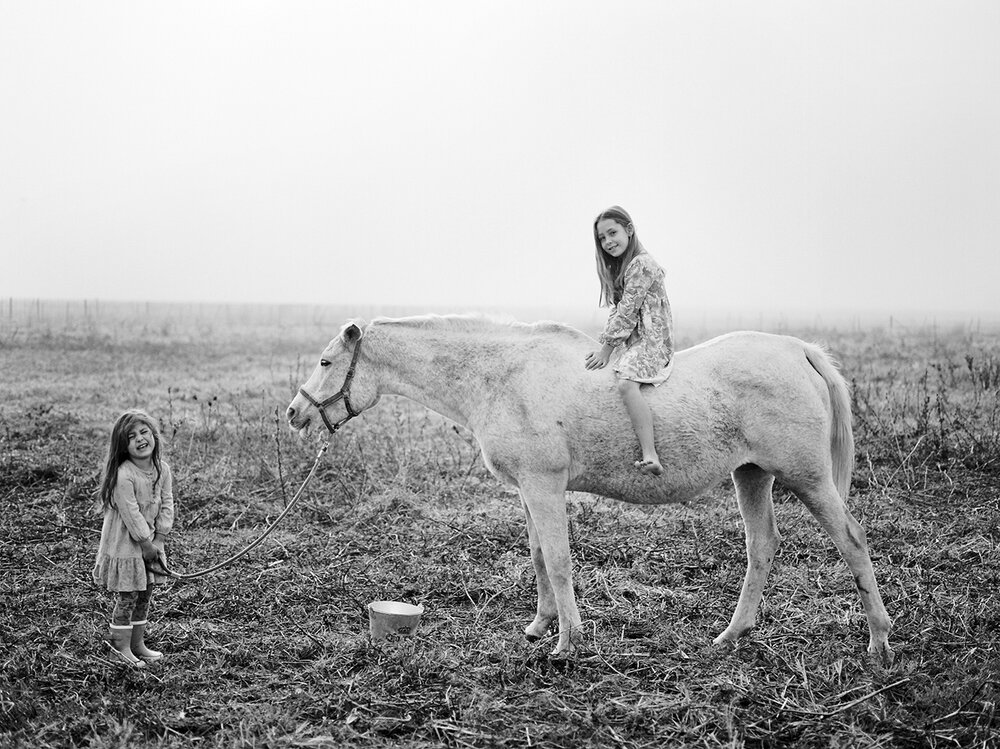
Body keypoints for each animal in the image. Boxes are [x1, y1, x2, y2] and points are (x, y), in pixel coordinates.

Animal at [286, 314, 896, 660]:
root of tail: (797, 349)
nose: (294, 413)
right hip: (752, 476)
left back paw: (879, 642)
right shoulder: (529, 490)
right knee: (762, 547)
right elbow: (537, 557)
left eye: (326, 360)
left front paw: (566, 643)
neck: (502, 376)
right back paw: (731, 636)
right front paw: (539, 626)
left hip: (808, 479)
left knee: (852, 541)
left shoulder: (543, 486)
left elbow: (558, 561)